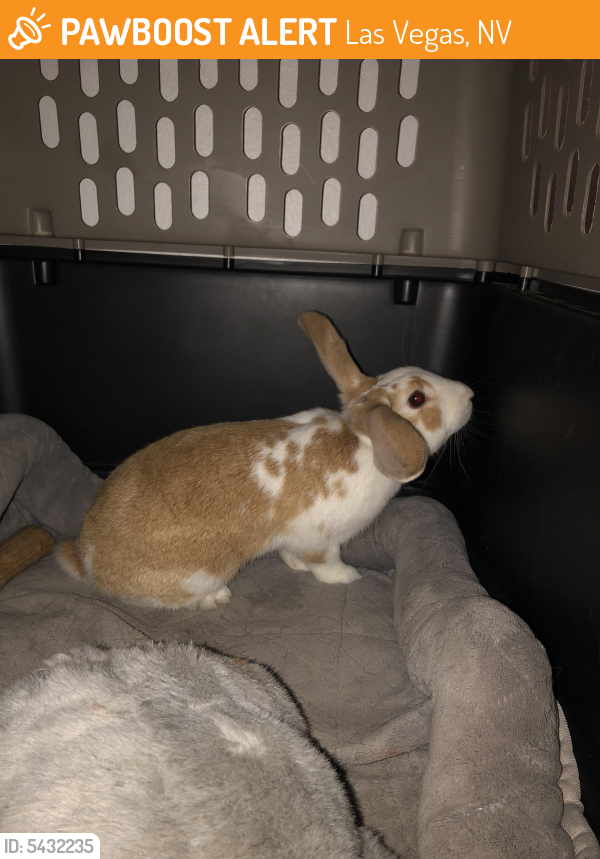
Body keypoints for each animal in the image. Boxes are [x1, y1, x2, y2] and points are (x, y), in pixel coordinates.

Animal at [57, 311, 473, 609]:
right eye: (417, 399)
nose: (469, 394)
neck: (364, 443)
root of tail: (88, 562)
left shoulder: (295, 539)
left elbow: (291, 555)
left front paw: (294, 565)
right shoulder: (322, 540)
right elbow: (325, 565)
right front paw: (349, 577)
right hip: (204, 570)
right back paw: (218, 597)